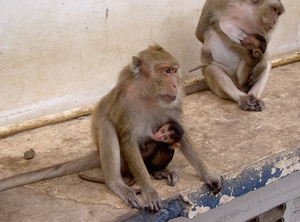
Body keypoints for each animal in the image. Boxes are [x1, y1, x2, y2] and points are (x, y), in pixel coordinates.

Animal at [0, 44, 223, 212]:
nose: (176, 84)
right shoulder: (125, 103)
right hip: (122, 162)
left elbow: (181, 132)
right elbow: (127, 140)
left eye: (175, 71)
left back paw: (158, 171)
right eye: (167, 71)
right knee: (107, 126)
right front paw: (149, 191)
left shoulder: (173, 104)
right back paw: (118, 184)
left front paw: (208, 175)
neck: (148, 93)